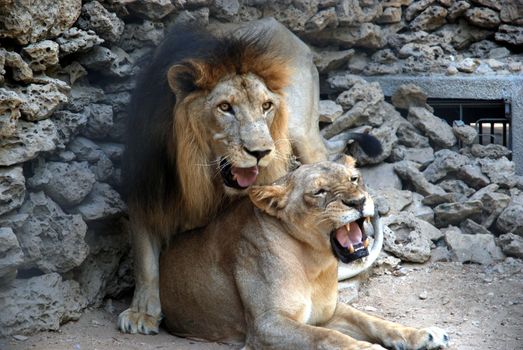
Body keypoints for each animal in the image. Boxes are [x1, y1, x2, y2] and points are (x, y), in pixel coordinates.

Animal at [117, 18, 380, 334]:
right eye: (225, 107)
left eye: (266, 106)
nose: (261, 151)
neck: (197, 172)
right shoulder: (145, 187)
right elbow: (145, 259)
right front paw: (142, 312)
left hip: (302, 135)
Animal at [160, 157, 450, 348]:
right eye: (319, 191)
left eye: (353, 179)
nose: (358, 201)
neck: (315, 262)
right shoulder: (266, 326)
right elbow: (328, 337)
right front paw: (369, 348)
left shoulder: (328, 312)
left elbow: (373, 321)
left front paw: (424, 335)